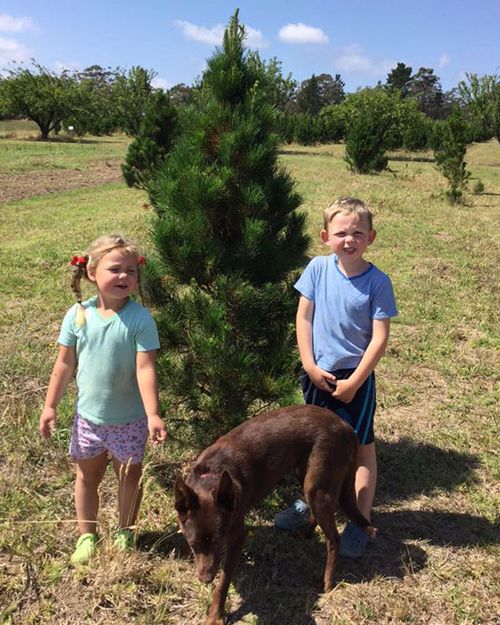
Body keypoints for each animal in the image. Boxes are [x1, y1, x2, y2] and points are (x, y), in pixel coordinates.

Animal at [176, 404, 376, 624]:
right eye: (192, 545)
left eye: (218, 543)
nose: (205, 579)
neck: (212, 475)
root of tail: (347, 427)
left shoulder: (237, 536)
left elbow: (223, 582)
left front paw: (215, 615)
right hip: (305, 476)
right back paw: (305, 532)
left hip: (317, 483)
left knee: (334, 538)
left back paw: (327, 582)